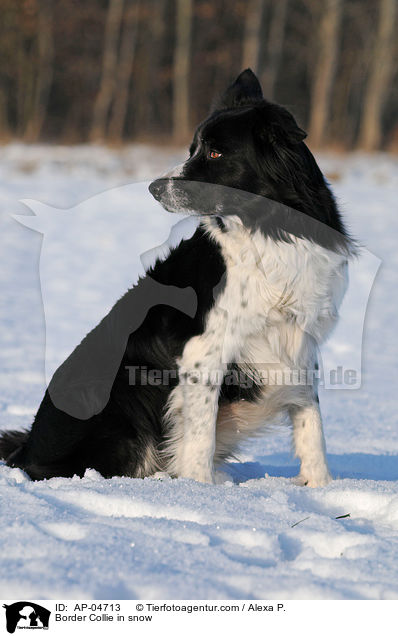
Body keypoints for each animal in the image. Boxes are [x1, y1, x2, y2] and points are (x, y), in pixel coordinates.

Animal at [0, 69, 354, 484]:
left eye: (215, 153)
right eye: (192, 150)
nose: (153, 189)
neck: (270, 229)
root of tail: (27, 451)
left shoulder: (300, 343)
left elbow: (311, 426)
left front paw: (321, 486)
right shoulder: (204, 351)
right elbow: (200, 437)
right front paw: (197, 491)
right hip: (122, 400)